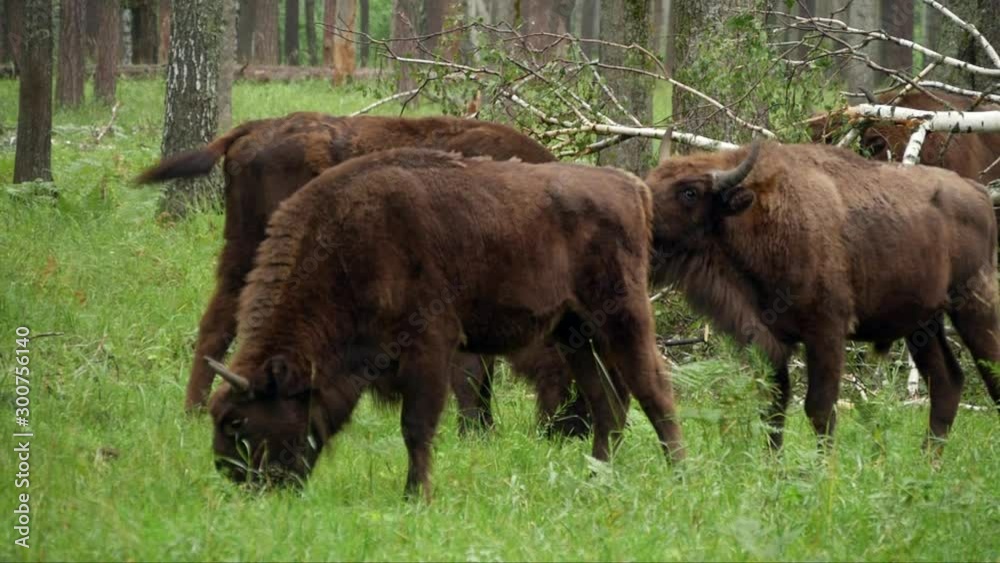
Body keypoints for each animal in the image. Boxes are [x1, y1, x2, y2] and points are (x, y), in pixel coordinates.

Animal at [136, 112, 584, 434]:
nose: (570, 431)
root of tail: (255, 128)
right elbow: (473, 372)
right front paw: (478, 431)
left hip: (245, 252)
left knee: (220, 320)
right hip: (256, 250)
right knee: (223, 322)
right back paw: (198, 412)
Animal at [205, 149, 688, 498]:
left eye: (237, 422)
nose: (230, 476)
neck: (346, 247)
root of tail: (630, 186)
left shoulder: (429, 347)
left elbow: (416, 427)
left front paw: (415, 496)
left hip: (623, 318)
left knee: (654, 391)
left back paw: (679, 476)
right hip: (574, 334)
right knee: (608, 406)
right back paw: (595, 479)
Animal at [644, 140, 1000, 450]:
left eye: (689, 192)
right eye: (654, 178)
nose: (642, 212)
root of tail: (980, 194)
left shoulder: (826, 333)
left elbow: (819, 409)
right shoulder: (771, 339)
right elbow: (774, 407)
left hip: (972, 304)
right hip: (922, 324)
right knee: (946, 383)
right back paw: (928, 462)